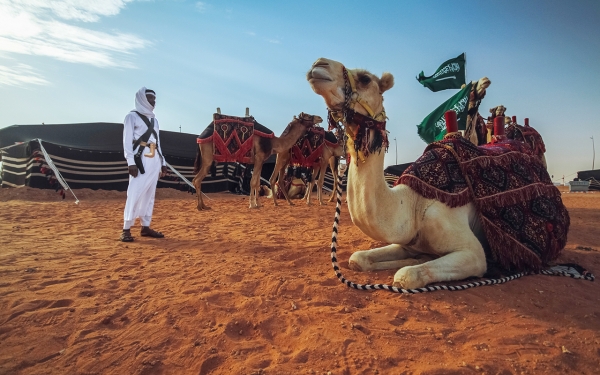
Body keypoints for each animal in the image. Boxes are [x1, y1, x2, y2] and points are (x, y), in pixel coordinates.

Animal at [193, 113, 324, 210]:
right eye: (307, 115)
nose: (320, 118)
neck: (273, 143)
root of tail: (200, 138)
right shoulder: (259, 158)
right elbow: (252, 182)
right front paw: (252, 205)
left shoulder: (260, 161)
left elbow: (256, 182)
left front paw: (258, 204)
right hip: (208, 158)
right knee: (197, 180)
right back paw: (201, 206)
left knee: (196, 180)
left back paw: (203, 206)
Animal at [308, 57, 490, 290]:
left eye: (365, 79)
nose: (319, 64)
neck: (413, 204)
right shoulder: (408, 240)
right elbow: (357, 258)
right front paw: (413, 258)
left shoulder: (473, 252)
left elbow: (406, 276)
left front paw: (412, 264)